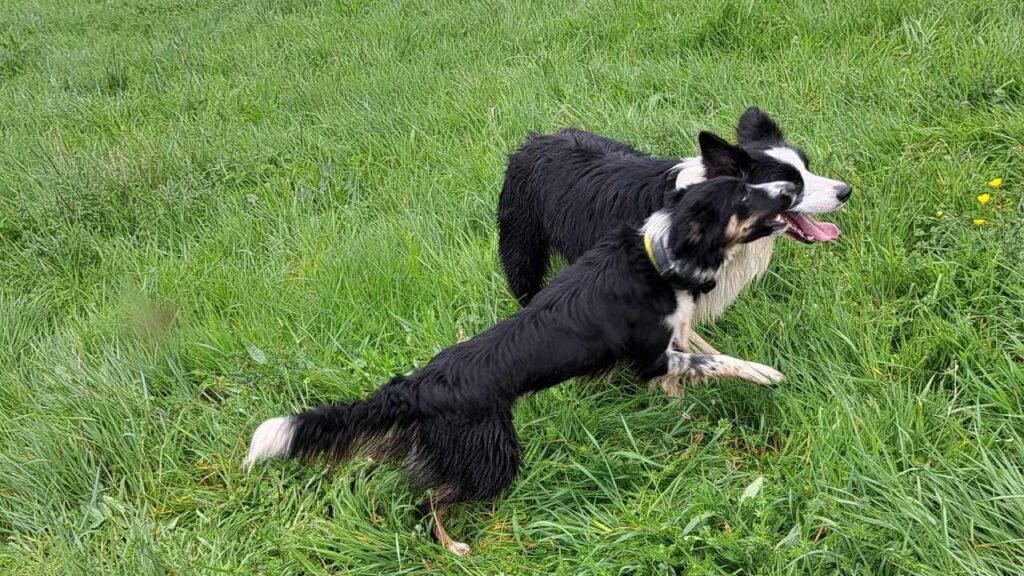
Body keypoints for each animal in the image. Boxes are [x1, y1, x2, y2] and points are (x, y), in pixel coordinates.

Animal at [243, 177, 794, 553]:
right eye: (745, 199)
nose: (789, 186)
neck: (657, 254)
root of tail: (417, 385)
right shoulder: (650, 357)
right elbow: (711, 360)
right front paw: (765, 374)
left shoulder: (672, 335)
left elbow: (698, 350)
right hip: (494, 454)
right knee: (429, 502)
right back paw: (453, 547)